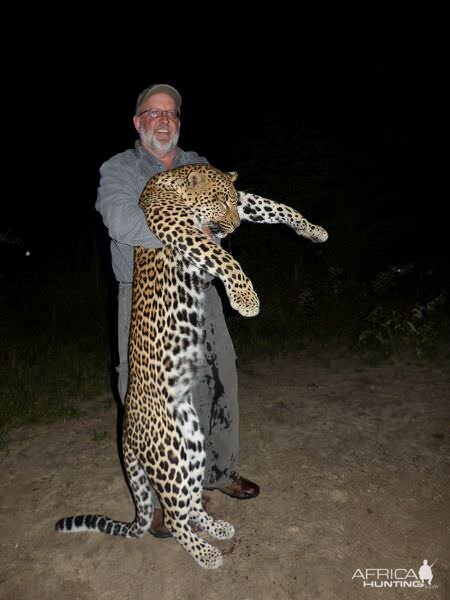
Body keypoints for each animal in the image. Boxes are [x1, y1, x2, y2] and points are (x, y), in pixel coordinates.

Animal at [56, 163, 328, 568]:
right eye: (217, 201)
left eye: (229, 200)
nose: (234, 228)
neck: (169, 184)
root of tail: (127, 430)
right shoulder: (182, 230)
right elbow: (224, 258)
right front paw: (246, 300)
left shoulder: (243, 202)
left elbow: (274, 205)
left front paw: (313, 229)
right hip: (170, 454)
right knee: (172, 514)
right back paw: (206, 554)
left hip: (192, 442)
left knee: (189, 501)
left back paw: (216, 529)